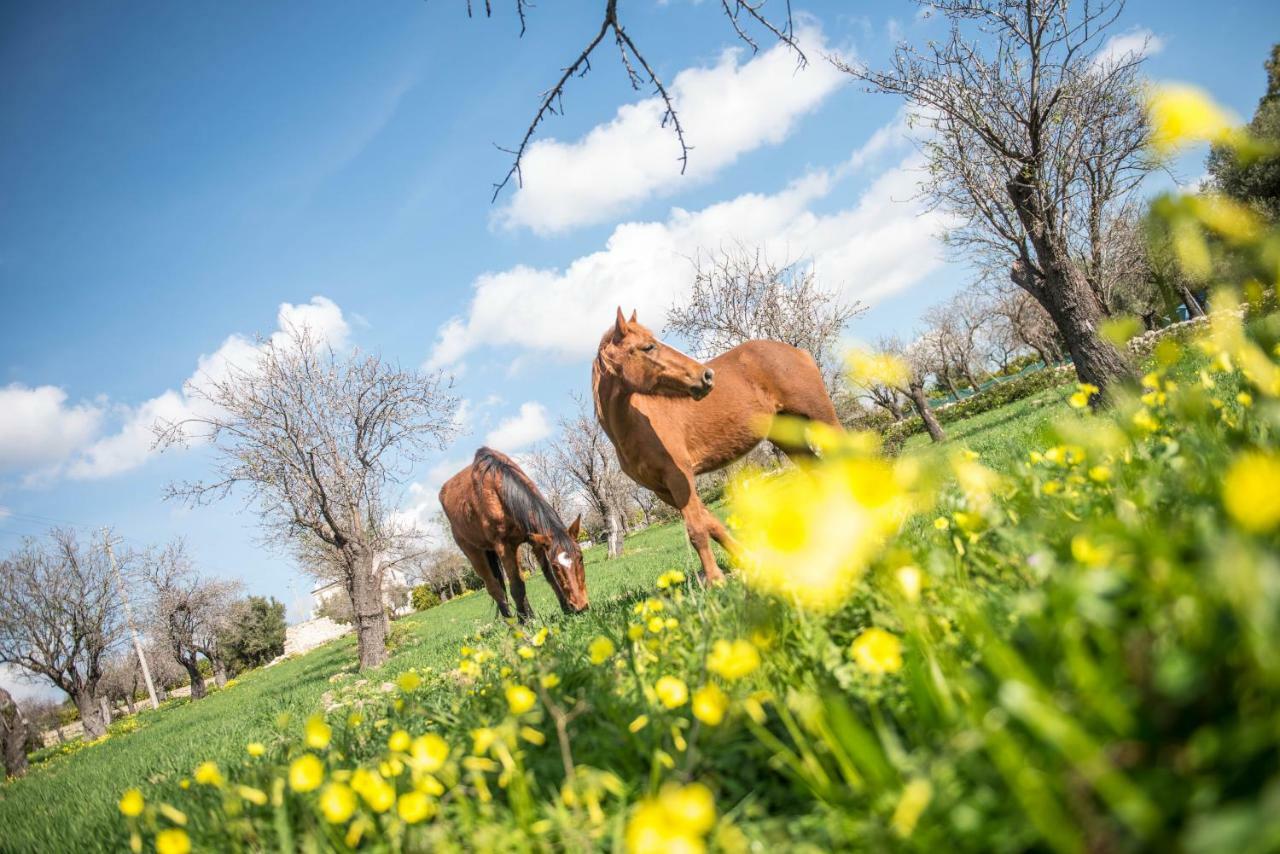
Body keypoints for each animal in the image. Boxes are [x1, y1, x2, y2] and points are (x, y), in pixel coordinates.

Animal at [435, 448, 586, 622]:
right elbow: (516, 586)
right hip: (474, 552)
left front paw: (565, 609)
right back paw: (512, 621)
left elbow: (548, 576)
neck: (498, 487)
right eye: (556, 565)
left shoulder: (535, 540)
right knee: (494, 588)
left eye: (580, 557)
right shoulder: (504, 546)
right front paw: (524, 622)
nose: (581, 606)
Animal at [591, 307, 839, 581]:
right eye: (648, 347)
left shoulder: (679, 478)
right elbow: (711, 524)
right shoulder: (663, 490)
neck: (633, 425)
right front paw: (746, 561)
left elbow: (697, 529)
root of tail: (796, 351)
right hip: (790, 438)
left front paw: (715, 579)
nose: (707, 376)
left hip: (822, 418)